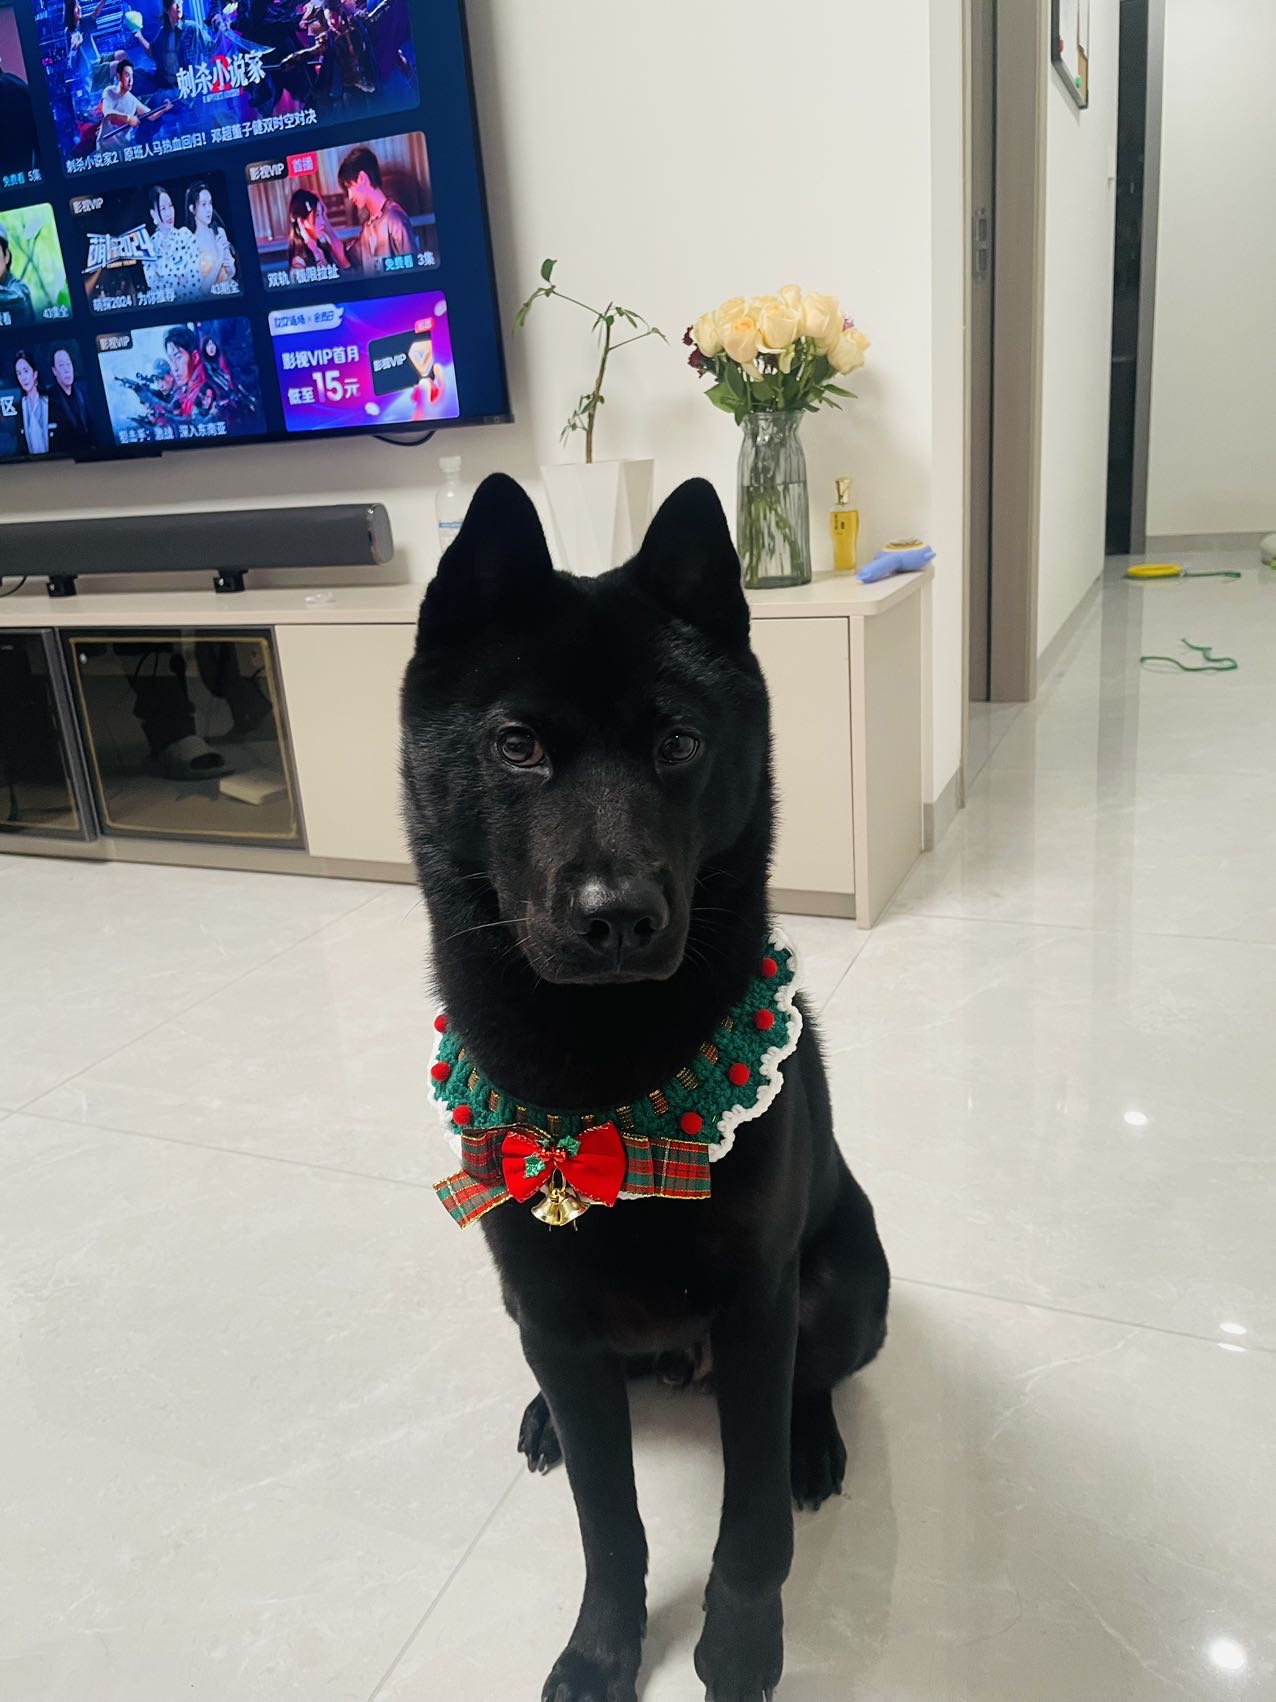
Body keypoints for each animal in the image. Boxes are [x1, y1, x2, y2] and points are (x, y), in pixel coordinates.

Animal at [401, 473, 890, 1701]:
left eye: (677, 741)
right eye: (517, 744)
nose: (616, 916)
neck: (607, 1079)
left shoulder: (757, 1303)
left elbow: (752, 1521)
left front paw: (740, 1647)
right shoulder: (551, 1305)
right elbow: (606, 1522)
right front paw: (601, 1649)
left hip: (846, 1286)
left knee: (812, 1381)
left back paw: (813, 1441)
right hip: (531, 1312)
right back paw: (546, 1416)